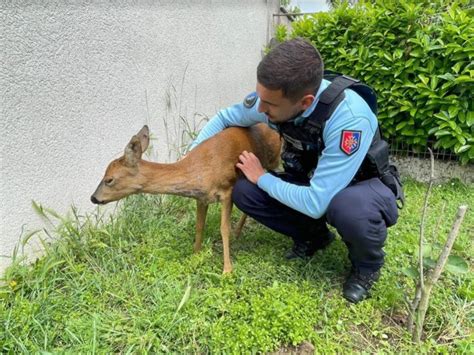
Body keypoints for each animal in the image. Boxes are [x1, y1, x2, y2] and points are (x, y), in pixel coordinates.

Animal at [90, 125, 280, 276]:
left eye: (109, 179)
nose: (93, 198)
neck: (199, 171)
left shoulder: (227, 191)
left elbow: (223, 228)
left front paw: (227, 270)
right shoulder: (201, 198)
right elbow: (199, 226)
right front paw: (195, 255)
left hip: (272, 162)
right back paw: (238, 232)